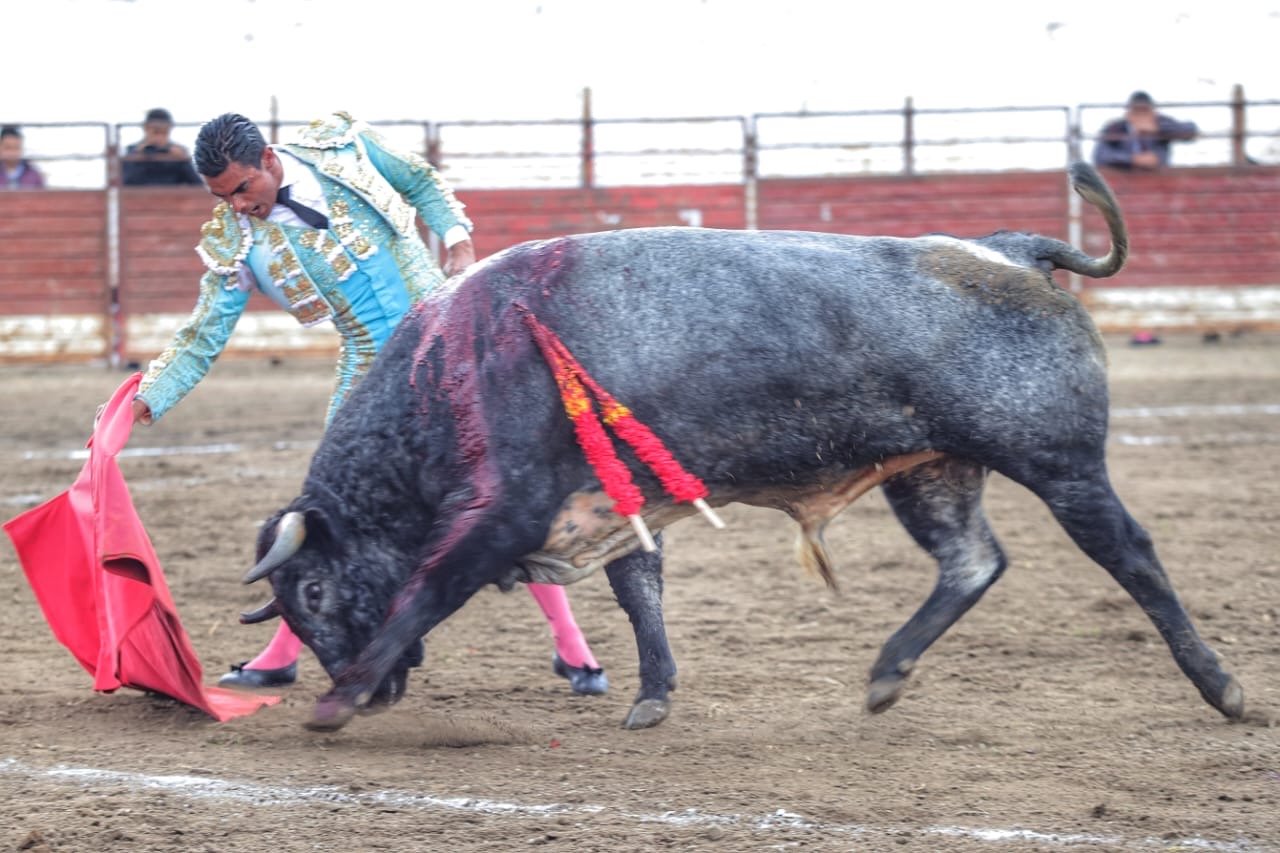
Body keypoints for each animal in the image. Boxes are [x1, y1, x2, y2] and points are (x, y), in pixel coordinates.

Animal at [238, 163, 1239, 732]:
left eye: (314, 592)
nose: (377, 692)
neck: (452, 371)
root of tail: (1008, 249)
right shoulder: (614, 504)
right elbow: (639, 593)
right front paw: (652, 695)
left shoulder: (503, 511)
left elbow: (426, 591)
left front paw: (334, 701)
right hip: (933, 471)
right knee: (972, 561)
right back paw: (886, 674)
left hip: (1061, 463)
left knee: (1130, 553)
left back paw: (1222, 686)